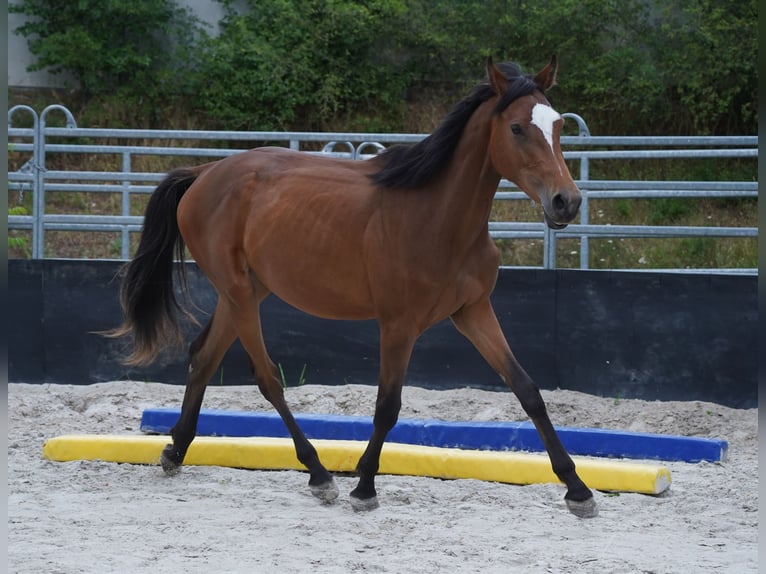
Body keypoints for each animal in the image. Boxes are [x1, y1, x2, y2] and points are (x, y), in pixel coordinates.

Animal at [107, 55, 597, 518]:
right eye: (516, 127)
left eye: (558, 125)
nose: (566, 202)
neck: (438, 216)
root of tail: (205, 172)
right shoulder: (398, 325)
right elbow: (387, 405)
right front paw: (364, 486)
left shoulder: (473, 311)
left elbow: (527, 390)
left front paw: (578, 490)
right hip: (240, 295)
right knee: (267, 379)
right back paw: (319, 474)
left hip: (242, 292)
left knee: (203, 357)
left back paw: (176, 449)